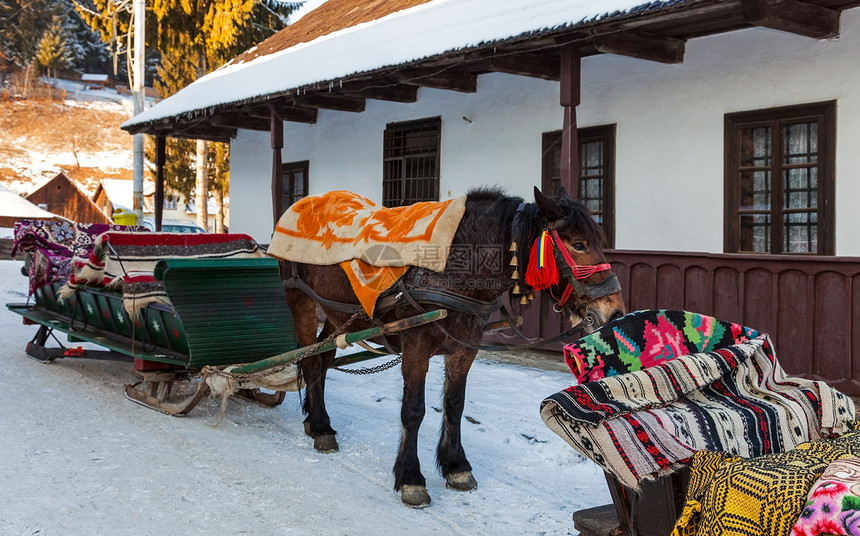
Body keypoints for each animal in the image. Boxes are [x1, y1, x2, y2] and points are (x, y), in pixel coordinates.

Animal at [282, 187, 624, 506]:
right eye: (578, 244)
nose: (615, 311)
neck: (453, 267)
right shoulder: (416, 346)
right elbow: (413, 410)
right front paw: (411, 478)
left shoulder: (465, 348)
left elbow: (455, 405)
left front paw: (456, 465)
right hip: (301, 299)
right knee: (310, 359)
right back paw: (321, 426)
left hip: (339, 314)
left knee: (323, 356)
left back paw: (316, 420)